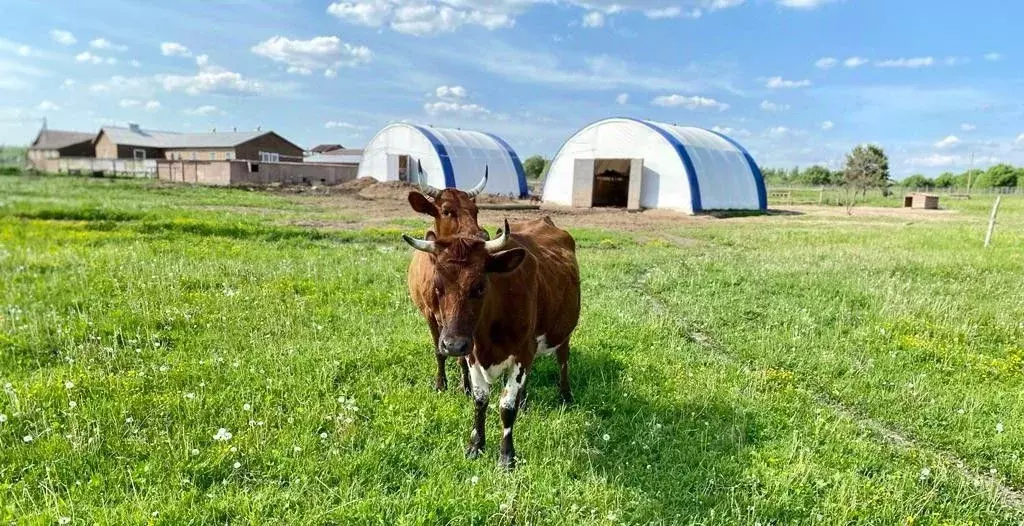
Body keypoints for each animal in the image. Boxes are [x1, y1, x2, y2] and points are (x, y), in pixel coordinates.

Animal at [399, 214, 581, 468]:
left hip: (563, 333)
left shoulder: (522, 352)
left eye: (480, 286)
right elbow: (480, 400)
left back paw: (565, 395)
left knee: (563, 361)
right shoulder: (473, 355)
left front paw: (506, 456)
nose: (453, 345)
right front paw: (476, 445)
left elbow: (507, 407)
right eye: (437, 287)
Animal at [405, 165, 489, 390]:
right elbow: (438, 351)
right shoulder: (429, 314)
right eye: (446, 211)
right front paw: (440, 383)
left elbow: (463, 355)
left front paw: (466, 385)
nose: (481, 236)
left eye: (476, 211)